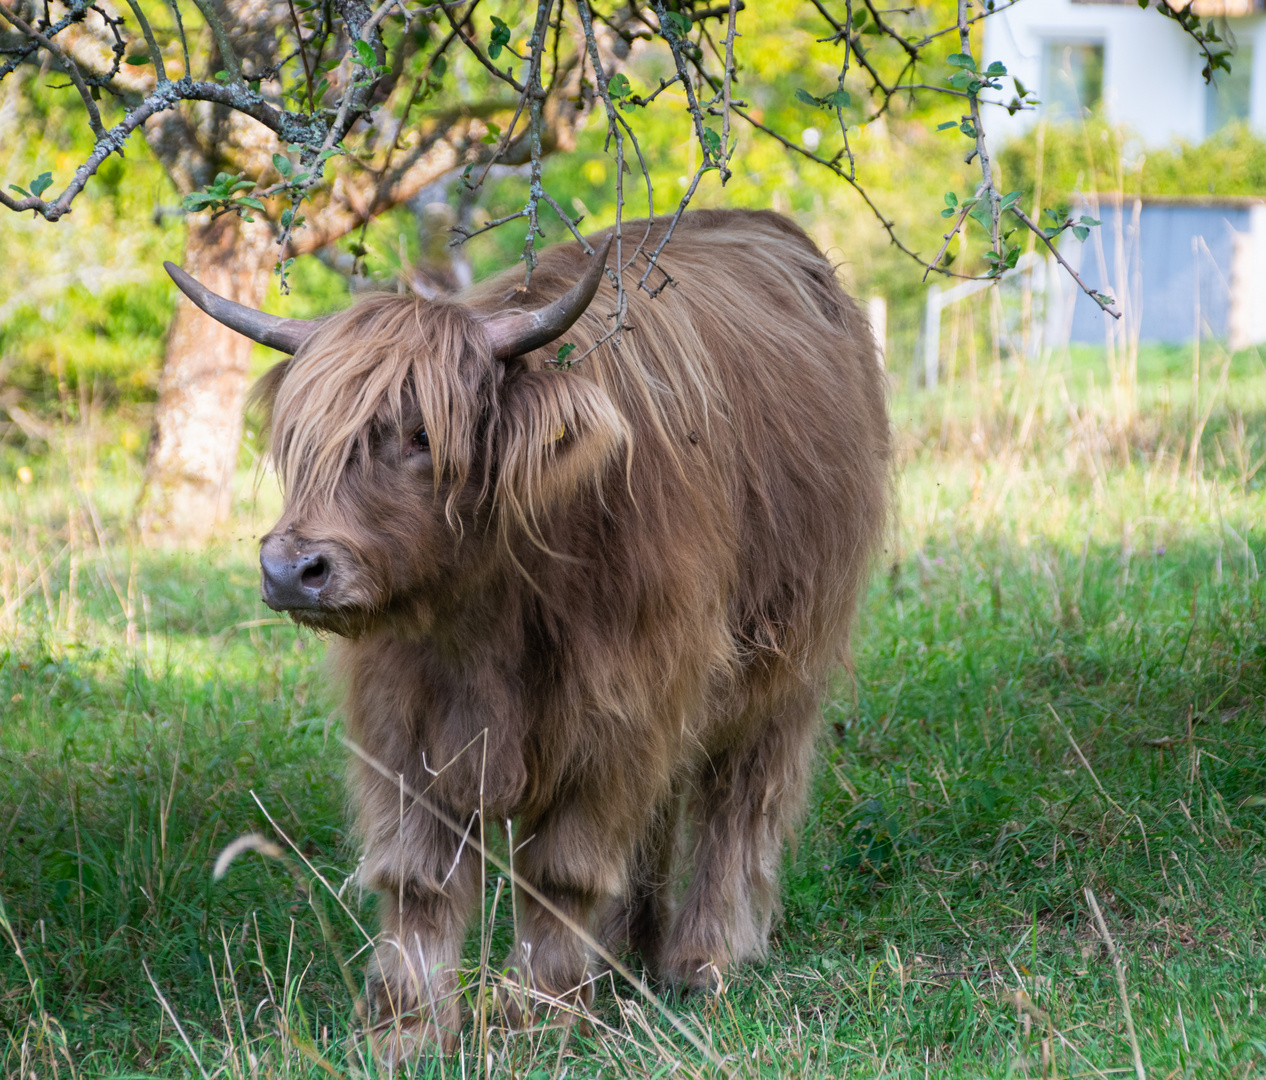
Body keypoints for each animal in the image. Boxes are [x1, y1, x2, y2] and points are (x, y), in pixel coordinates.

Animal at [168, 210, 891, 1063]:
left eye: (421, 435)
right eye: (302, 439)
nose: (290, 569)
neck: (486, 618)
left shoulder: (616, 712)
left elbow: (561, 869)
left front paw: (536, 1016)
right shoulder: (401, 720)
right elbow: (417, 875)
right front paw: (407, 1027)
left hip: (784, 665)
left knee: (738, 805)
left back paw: (701, 960)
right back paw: (627, 947)